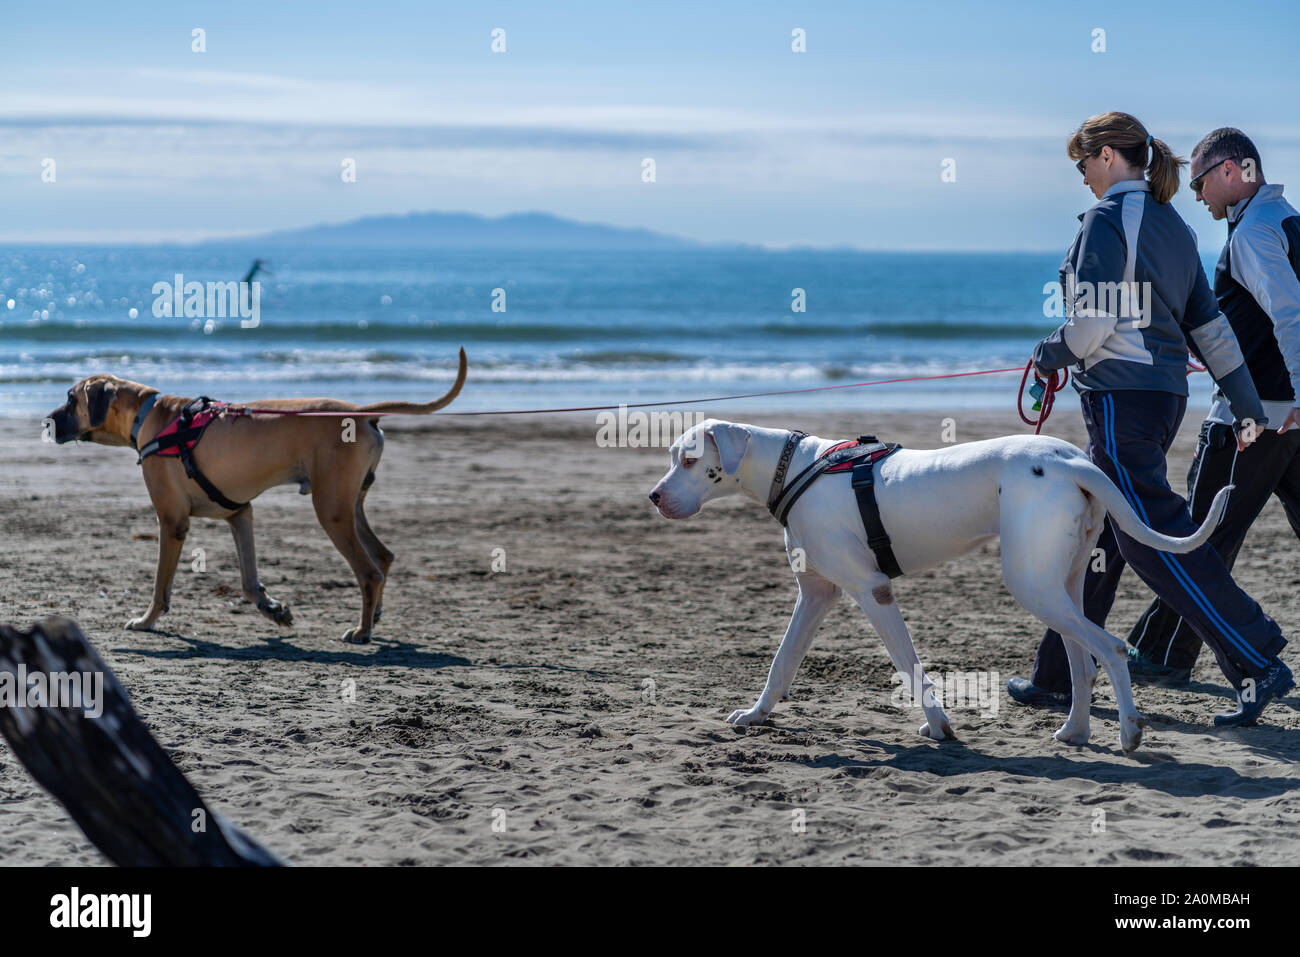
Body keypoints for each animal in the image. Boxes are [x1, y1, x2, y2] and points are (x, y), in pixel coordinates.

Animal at [48, 348, 470, 642]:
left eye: (71, 399)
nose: (46, 421)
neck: (150, 415)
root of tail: (361, 412)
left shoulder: (172, 522)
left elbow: (160, 585)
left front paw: (146, 620)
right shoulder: (240, 514)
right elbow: (250, 582)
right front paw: (273, 609)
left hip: (331, 509)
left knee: (369, 571)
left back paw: (363, 630)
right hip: (350, 504)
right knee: (382, 556)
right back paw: (376, 616)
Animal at [650, 421, 1227, 754]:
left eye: (689, 460)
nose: (654, 496)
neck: (793, 468)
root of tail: (1072, 461)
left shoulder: (874, 591)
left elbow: (909, 666)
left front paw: (938, 725)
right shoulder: (815, 595)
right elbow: (782, 662)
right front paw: (756, 715)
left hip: (1033, 586)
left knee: (1109, 648)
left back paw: (1129, 731)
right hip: (1059, 585)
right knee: (1082, 660)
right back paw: (1076, 732)